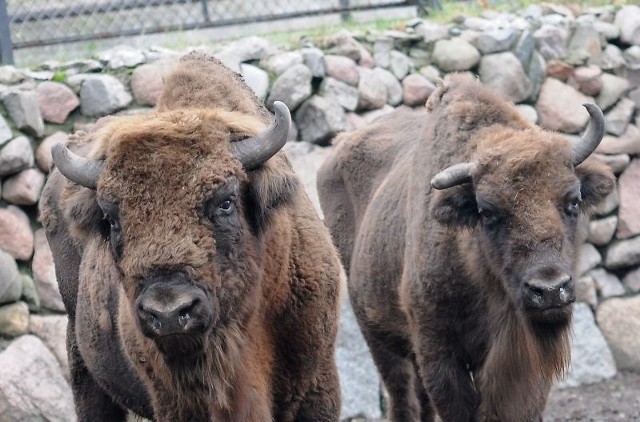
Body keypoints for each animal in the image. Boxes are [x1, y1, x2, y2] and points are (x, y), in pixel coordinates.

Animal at [318, 73, 616, 422]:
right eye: (487, 212)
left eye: (573, 200)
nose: (550, 289)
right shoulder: (440, 354)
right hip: (377, 332)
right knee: (401, 396)